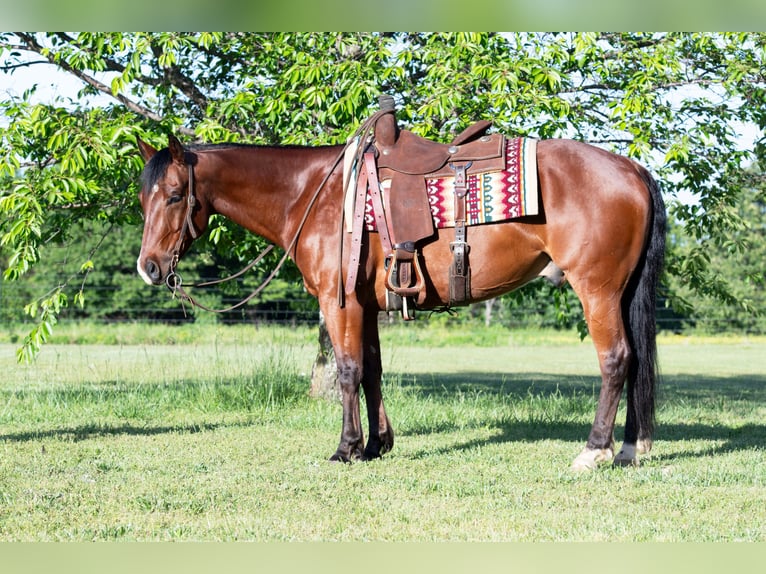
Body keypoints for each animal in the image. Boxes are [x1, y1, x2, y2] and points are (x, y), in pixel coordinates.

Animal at [135, 127, 666, 471]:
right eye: (144, 199)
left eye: (176, 194)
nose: (149, 267)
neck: (313, 195)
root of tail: (633, 168)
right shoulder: (367, 306)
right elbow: (372, 370)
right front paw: (377, 444)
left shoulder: (340, 303)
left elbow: (347, 371)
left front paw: (346, 448)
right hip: (619, 293)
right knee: (637, 360)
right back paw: (630, 449)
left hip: (596, 289)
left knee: (616, 360)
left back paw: (594, 450)